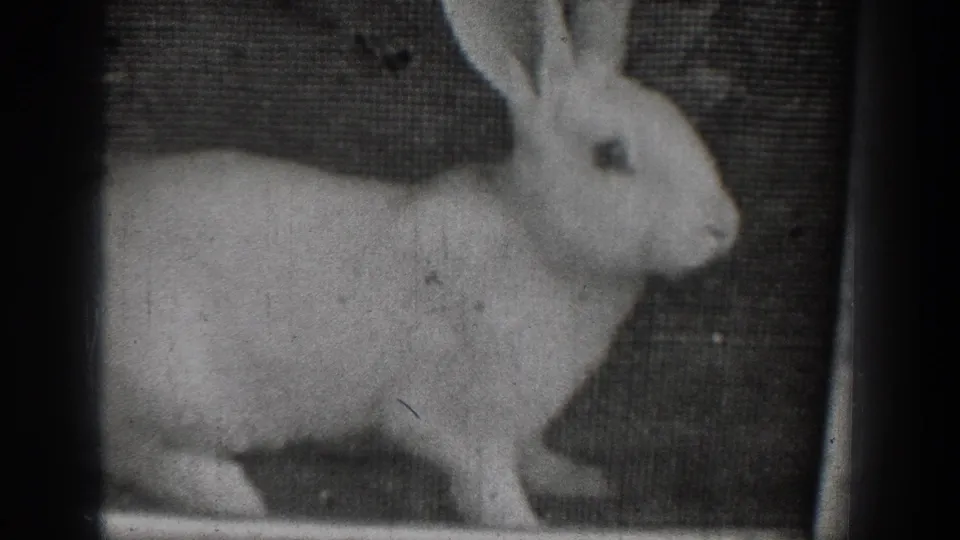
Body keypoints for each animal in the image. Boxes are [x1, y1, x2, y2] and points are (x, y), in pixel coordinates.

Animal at [101, 0, 740, 530]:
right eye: (610, 155)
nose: (724, 226)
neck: (539, 240)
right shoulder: (455, 412)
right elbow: (486, 478)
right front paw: (523, 521)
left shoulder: (523, 419)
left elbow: (530, 455)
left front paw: (581, 480)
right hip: (174, 386)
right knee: (135, 449)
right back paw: (229, 495)